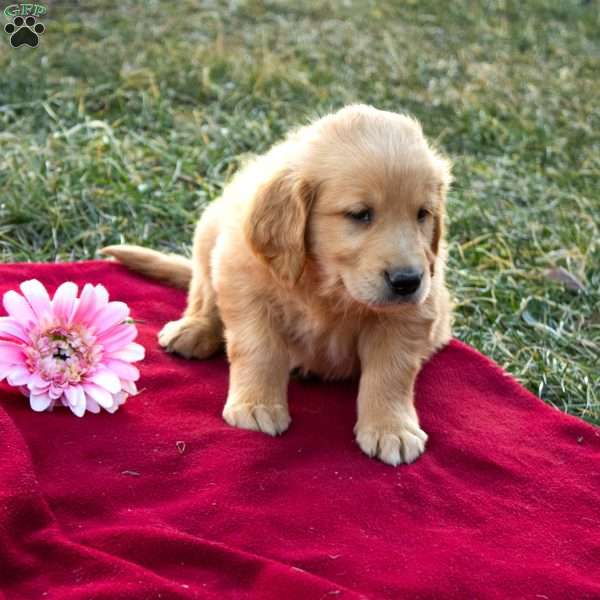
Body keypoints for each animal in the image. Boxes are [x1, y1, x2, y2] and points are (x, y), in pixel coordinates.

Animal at [102, 104, 450, 464]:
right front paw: (257, 405)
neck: (326, 283)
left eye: (423, 214)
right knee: (202, 290)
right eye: (360, 214)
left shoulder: (411, 312)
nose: (408, 281)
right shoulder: (243, 280)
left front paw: (391, 429)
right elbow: (259, 348)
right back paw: (194, 328)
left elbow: (392, 372)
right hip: (210, 228)